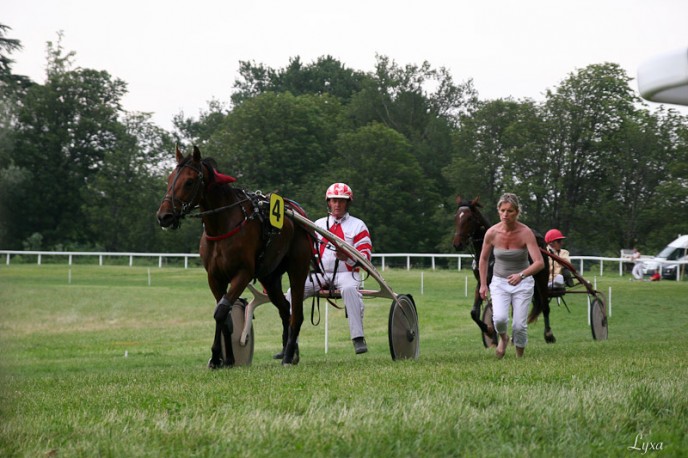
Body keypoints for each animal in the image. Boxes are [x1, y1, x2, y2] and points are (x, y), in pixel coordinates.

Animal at [155, 145, 312, 366]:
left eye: (189, 181)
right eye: (170, 179)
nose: (164, 216)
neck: (223, 226)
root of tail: (296, 214)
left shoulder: (243, 273)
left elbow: (220, 312)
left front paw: (219, 356)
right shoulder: (214, 277)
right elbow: (224, 316)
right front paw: (225, 358)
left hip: (298, 269)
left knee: (296, 313)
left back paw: (288, 355)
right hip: (270, 277)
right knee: (285, 308)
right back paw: (289, 350)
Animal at [452, 196, 560, 344]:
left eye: (469, 218)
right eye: (456, 216)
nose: (457, 244)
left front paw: (492, 332)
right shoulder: (481, 282)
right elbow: (474, 313)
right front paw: (489, 331)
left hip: (541, 276)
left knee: (544, 305)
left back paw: (548, 334)